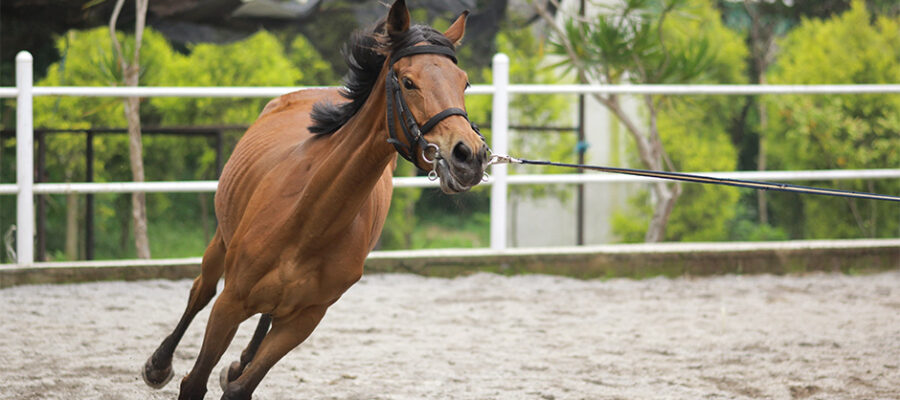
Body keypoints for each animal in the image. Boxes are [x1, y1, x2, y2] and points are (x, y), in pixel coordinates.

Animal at [141, 1, 488, 398]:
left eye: (463, 82)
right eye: (408, 81)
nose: (469, 156)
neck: (310, 218)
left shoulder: (304, 320)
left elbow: (242, 387)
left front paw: (239, 373)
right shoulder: (230, 304)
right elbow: (195, 380)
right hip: (220, 243)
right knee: (202, 290)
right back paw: (158, 364)